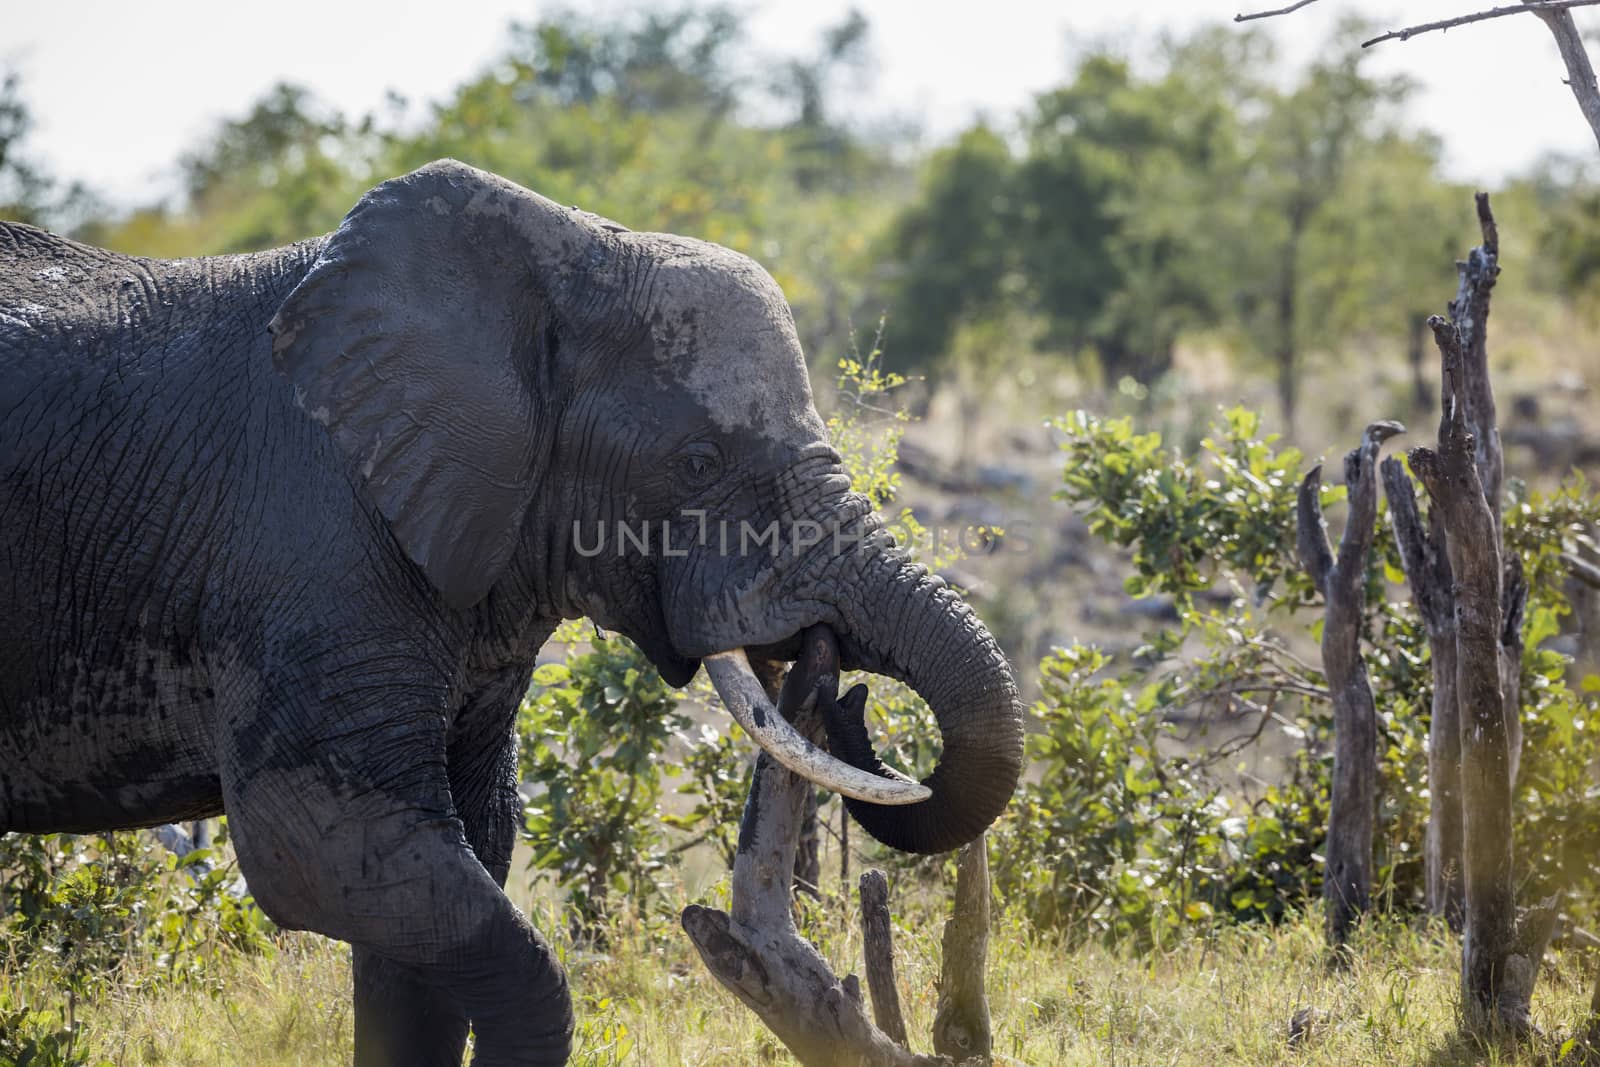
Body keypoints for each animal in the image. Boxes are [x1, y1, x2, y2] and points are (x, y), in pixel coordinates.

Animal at [0, 160, 1024, 1067]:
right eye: (697, 464)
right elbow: (327, 845)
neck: (556, 260)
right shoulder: (311, 546)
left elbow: (458, 864)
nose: (835, 685)